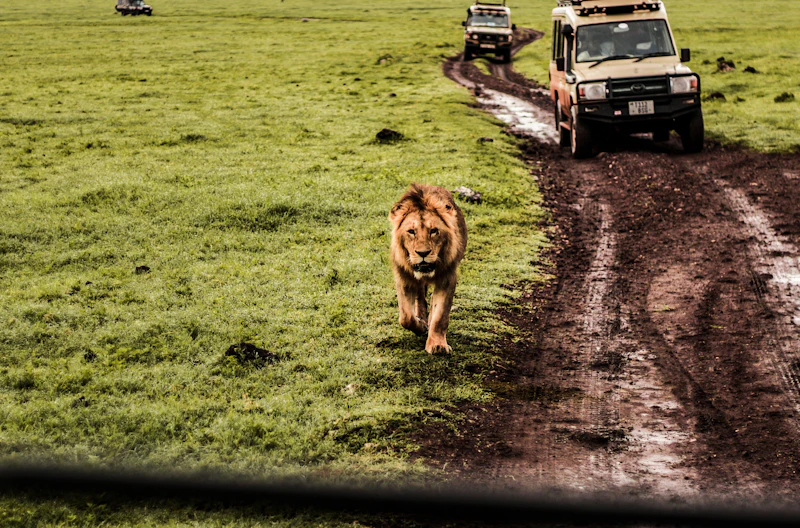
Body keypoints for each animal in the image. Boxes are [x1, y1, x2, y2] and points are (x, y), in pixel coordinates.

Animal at [389, 183, 467, 354]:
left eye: (434, 231)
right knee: (420, 297)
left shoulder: (448, 278)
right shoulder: (403, 277)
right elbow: (405, 317)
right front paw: (420, 325)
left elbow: (440, 316)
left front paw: (437, 345)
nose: (423, 253)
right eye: (411, 231)